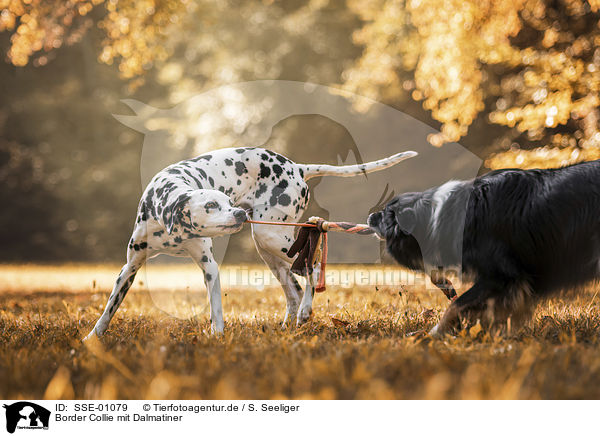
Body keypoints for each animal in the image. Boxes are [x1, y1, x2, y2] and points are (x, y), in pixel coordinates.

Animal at [84, 146, 418, 338]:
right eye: (211, 205)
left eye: (225, 201)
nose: (238, 214)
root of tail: (298, 167)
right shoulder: (129, 268)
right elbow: (109, 308)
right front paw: (93, 338)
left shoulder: (209, 267)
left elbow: (216, 310)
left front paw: (217, 337)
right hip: (268, 250)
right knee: (293, 291)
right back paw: (288, 325)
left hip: (273, 238)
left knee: (312, 268)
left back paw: (306, 311)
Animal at [368, 159, 600, 334]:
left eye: (385, 214)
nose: (370, 216)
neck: (439, 214)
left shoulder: (502, 276)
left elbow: (456, 305)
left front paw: (433, 334)